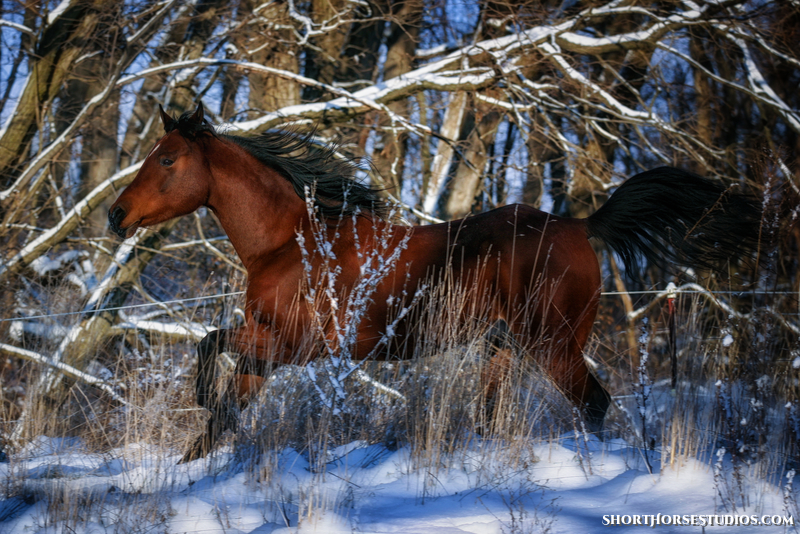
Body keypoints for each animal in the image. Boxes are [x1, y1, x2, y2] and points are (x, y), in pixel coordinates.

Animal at [108, 105, 764, 464]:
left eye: (166, 159)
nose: (116, 215)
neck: (289, 244)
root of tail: (580, 225)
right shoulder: (265, 351)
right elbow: (220, 416)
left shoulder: (297, 347)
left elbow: (207, 350)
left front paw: (199, 400)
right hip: (503, 347)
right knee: (493, 418)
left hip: (553, 344)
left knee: (594, 405)